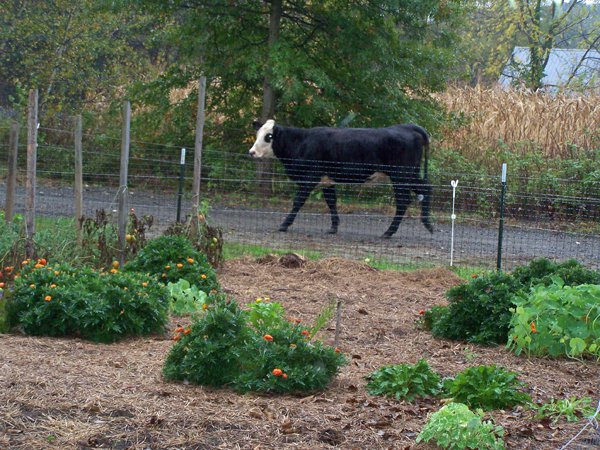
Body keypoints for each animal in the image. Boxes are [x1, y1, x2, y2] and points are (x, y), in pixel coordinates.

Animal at [246, 119, 434, 239]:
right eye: (257, 133)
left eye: (268, 136)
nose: (251, 152)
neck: (302, 142)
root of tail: (407, 127)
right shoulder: (326, 180)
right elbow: (331, 202)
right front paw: (334, 227)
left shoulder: (310, 178)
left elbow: (298, 201)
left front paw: (284, 224)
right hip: (411, 174)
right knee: (426, 188)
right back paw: (428, 224)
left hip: (400, 175)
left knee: (403, 201)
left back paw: (389, 232)